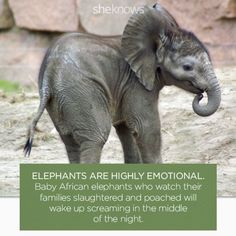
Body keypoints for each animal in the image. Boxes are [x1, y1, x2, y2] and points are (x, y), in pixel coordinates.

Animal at [24, 3, 221, 163]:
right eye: (187, 67)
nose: (200, 95)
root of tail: (50, 70)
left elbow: (127, 130)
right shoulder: (136, 84)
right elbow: (145, 129)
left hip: (60, 99)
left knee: (71, 143)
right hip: (80, 90)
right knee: (95, 138)